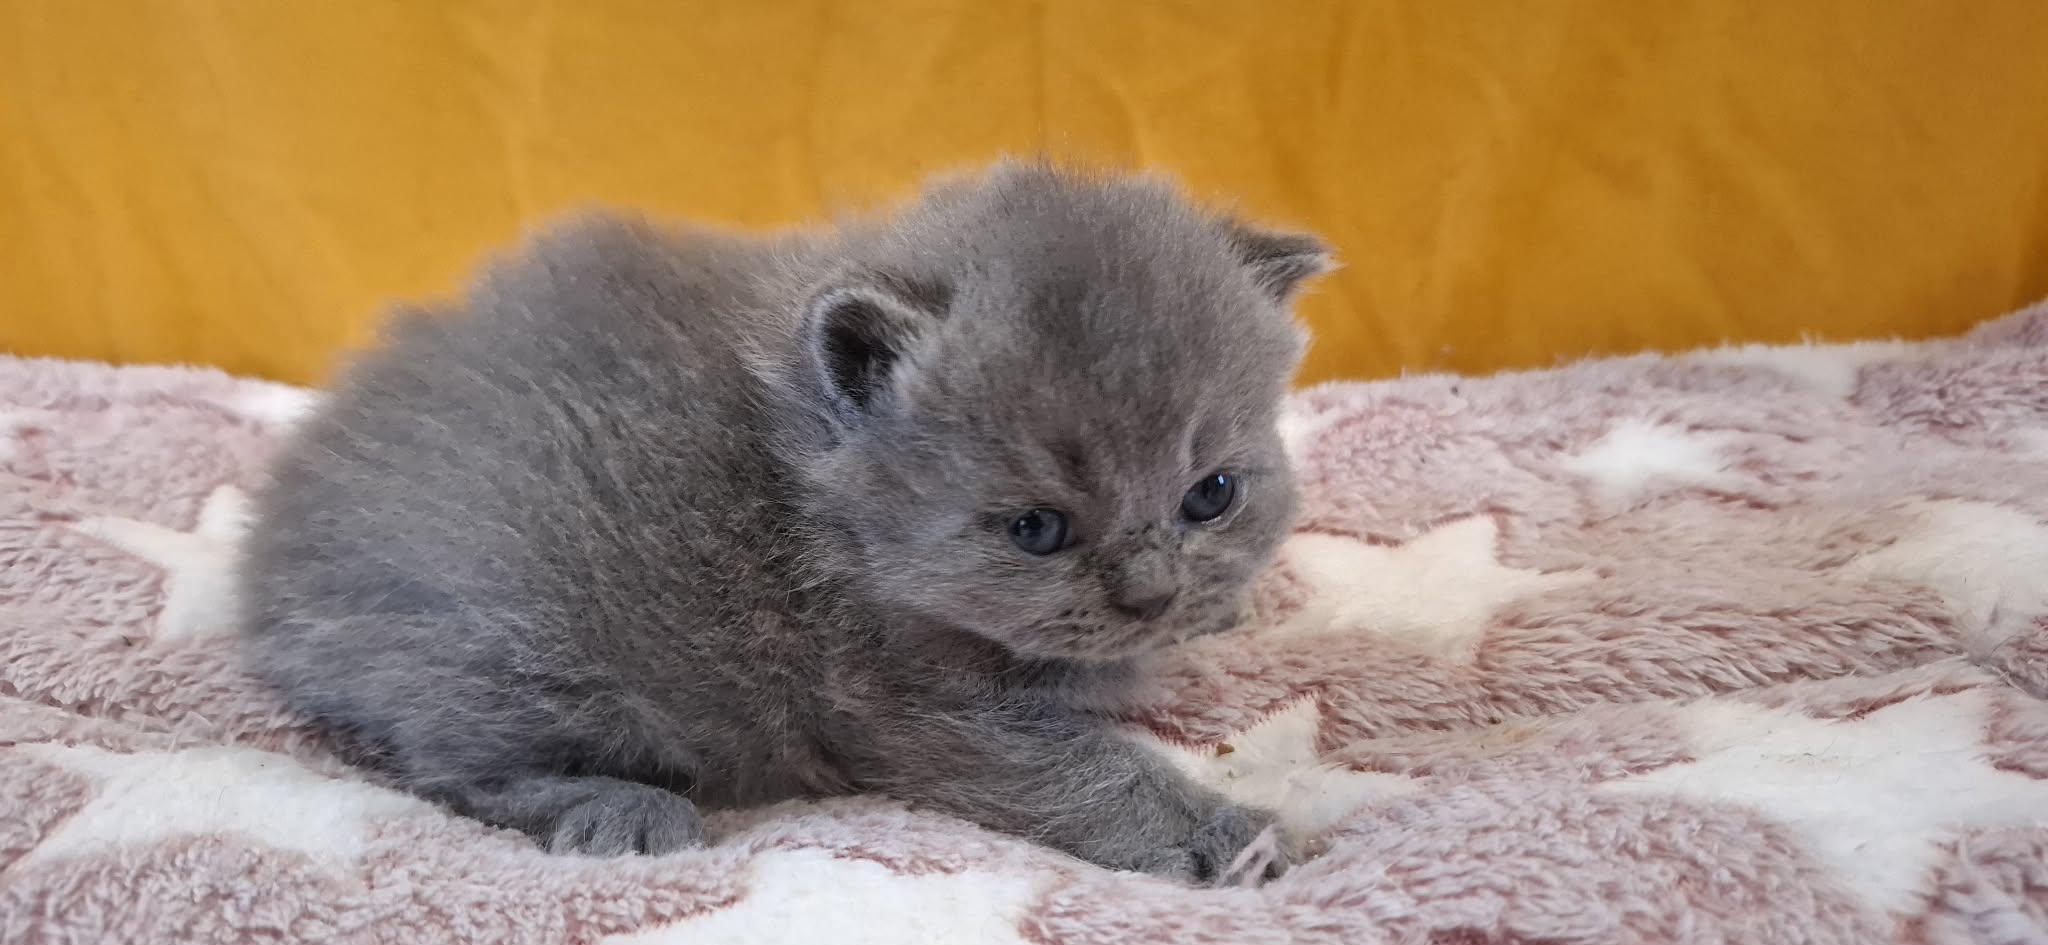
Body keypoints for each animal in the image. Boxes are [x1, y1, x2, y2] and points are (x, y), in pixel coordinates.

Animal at [237, 161, 1330, 884]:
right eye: (1035, 529)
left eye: (1210, 494)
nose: (1151, 595)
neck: (819, 498)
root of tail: (269, 559)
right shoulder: (903, 700)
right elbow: (1086, 772)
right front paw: (1227, 837)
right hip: (513, 652)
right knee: (454, 775)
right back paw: (621, 809)